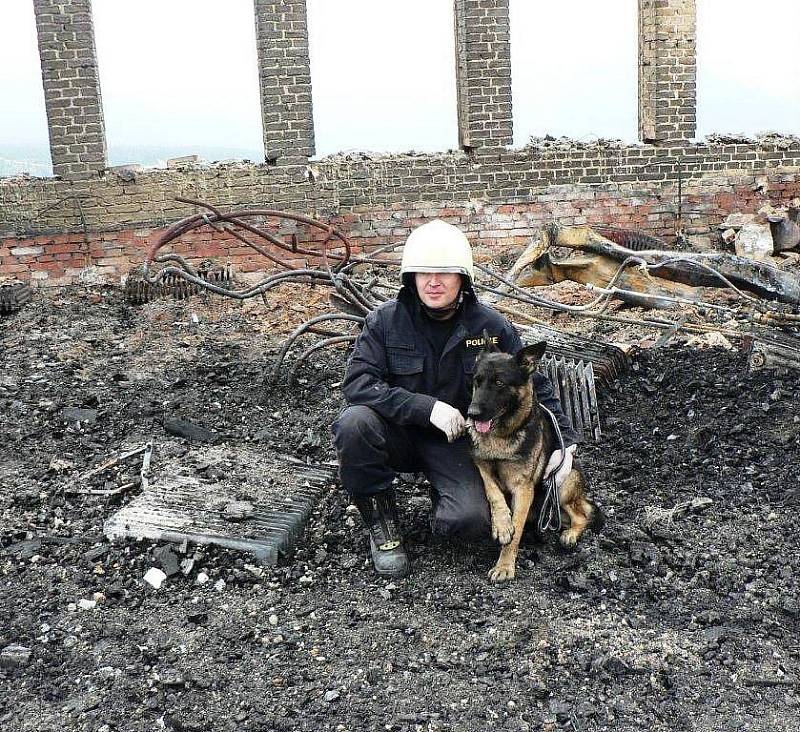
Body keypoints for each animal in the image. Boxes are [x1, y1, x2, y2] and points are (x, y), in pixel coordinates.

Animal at [462, 338, 592, 584]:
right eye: (477, 381)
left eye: (499, 382)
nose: (472, 414)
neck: (501, 437)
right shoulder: (481, 466)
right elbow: (493, 493)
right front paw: (502, 524)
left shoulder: (523, 489)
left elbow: (516, 531)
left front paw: (504, 566)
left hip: (563, 482)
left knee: (582, 515)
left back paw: (570, 534)